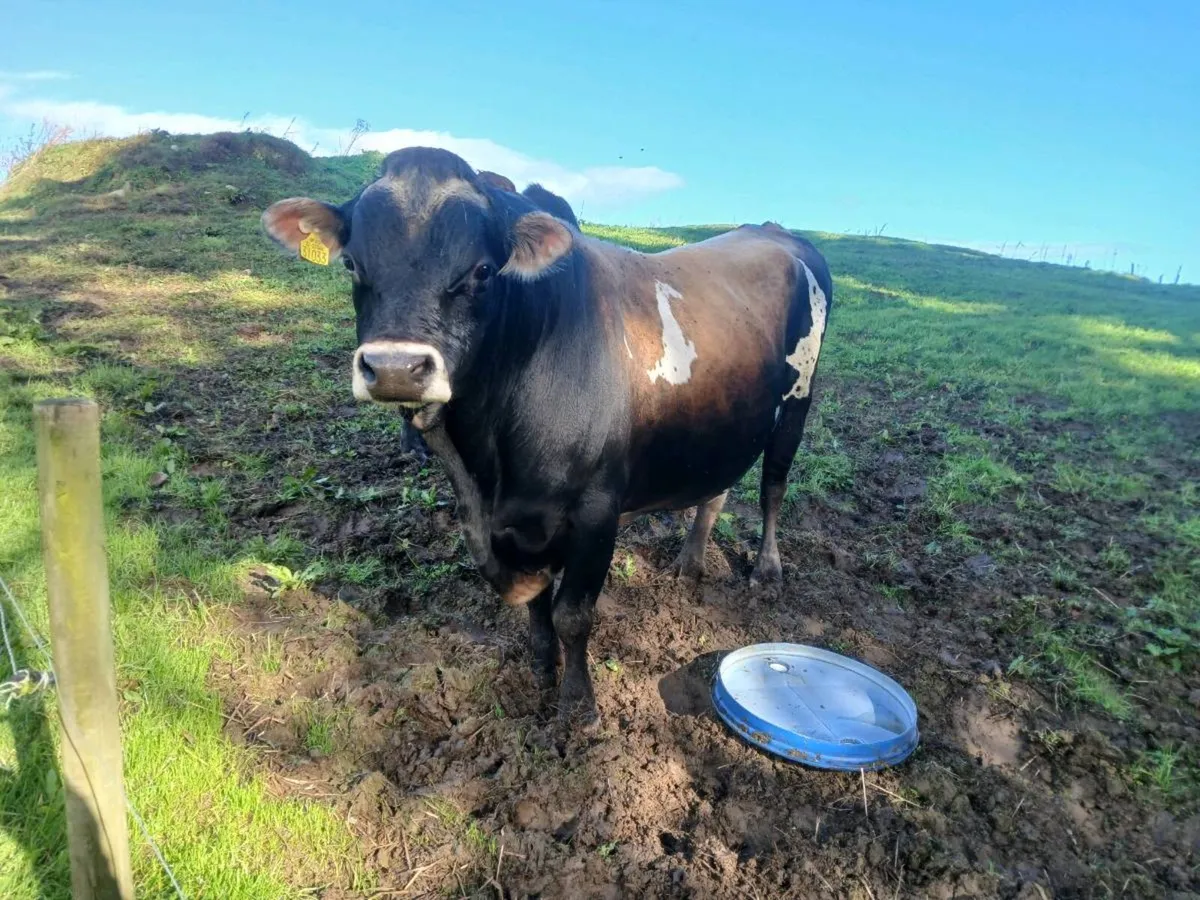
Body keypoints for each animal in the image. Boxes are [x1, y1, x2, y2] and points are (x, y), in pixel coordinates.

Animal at [261, 147, 832, 730]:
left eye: (483, 270)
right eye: (351, 264)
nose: (397, 367)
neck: (488, 463)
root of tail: (773, 230)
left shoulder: (597, 510)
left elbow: (572, 613)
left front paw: (579, 703)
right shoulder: (516, 523)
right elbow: (537, 602)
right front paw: (540, 664)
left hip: (797, 401)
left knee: (773, 486)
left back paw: (766, 569)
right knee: (716, 486)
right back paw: (690, 559)